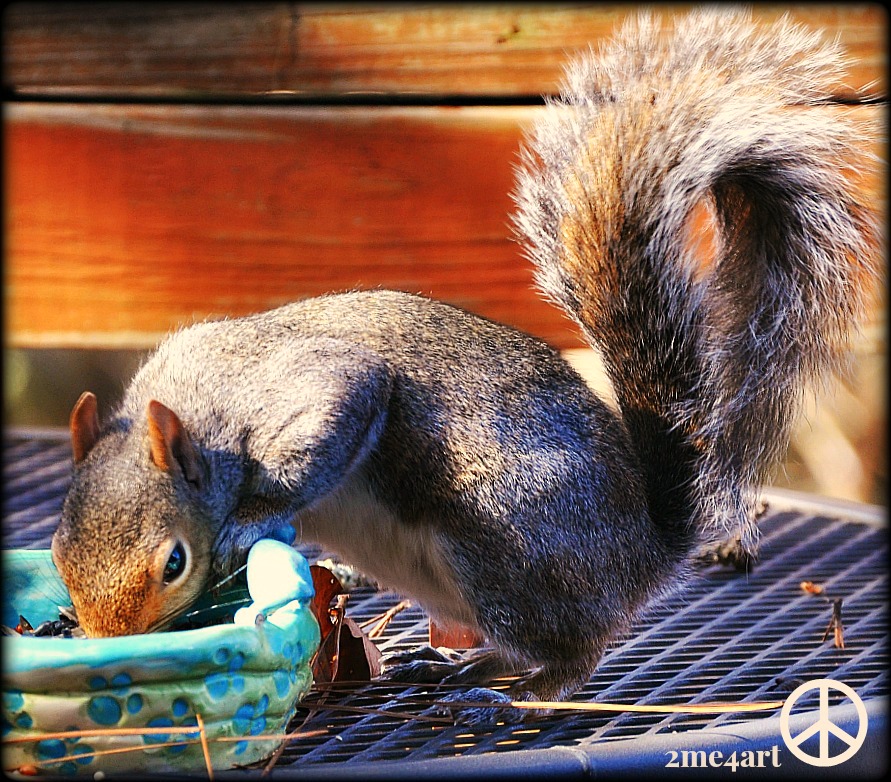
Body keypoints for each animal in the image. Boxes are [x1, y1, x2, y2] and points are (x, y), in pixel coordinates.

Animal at [51, 9, 878, 717]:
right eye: (59, 551)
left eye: (174, 562)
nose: (111, 646)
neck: (192, 410)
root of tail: (645, 549)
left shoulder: (310, 391)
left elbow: (337, 412)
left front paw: (248, 522)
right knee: (518, 644)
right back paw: (458, 665)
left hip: (500, 547)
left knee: (572, 647)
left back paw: (517, 692)